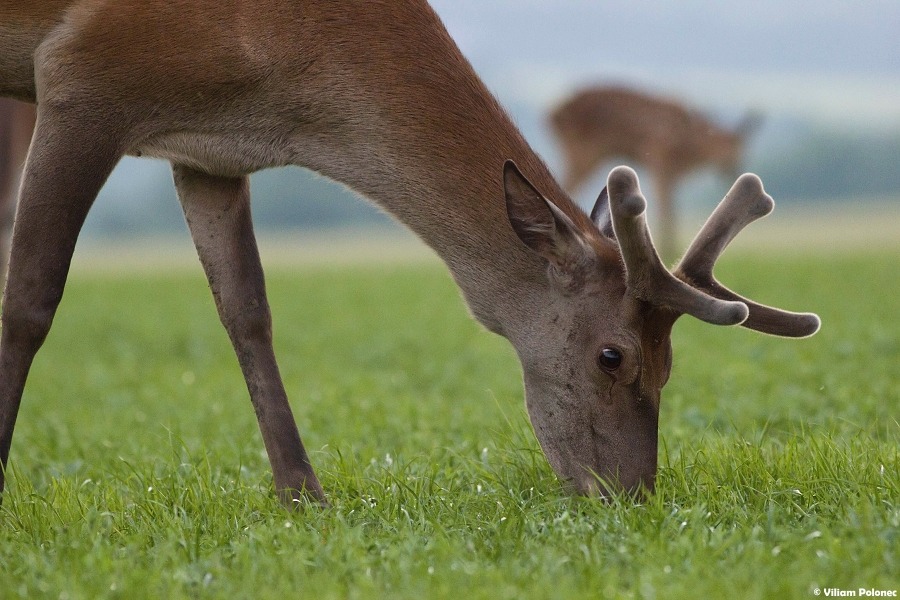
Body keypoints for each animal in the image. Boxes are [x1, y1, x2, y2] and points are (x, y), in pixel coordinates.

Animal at [548, 85, 760, 258]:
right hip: (583, 153)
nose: (734, 170)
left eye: (741, 149)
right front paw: (668, 250)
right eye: (723, 146)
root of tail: (552, 112)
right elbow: (665, 205)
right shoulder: (660, 160)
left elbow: (671, 206)